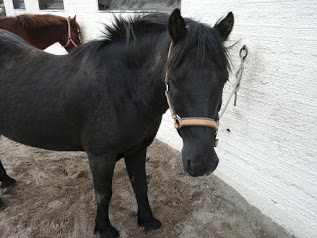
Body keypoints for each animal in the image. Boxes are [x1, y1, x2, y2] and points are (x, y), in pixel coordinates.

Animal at [0, 9, 232, 238]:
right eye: (173, 81)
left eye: (224, 80)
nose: (203, 163)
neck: (121, 90)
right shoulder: (100, 156)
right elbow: (104, 193)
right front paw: (105, 229)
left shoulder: (138, 149)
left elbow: (140, 184)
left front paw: (148, 221)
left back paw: (6, 181)